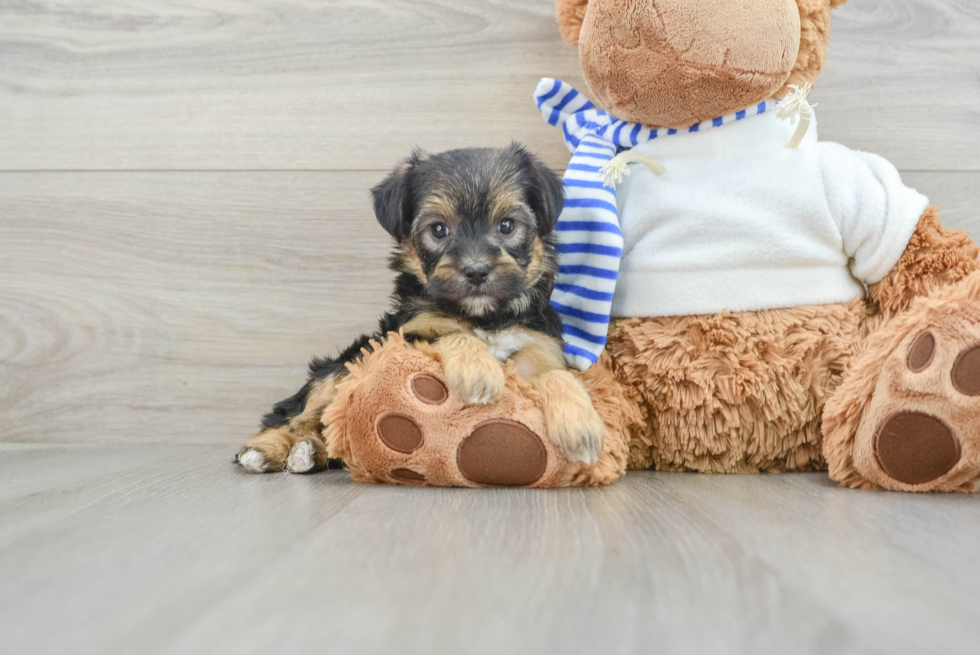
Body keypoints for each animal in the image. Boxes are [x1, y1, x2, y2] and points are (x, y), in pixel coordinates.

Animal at [237, 146, 604, 476]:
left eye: (507, 226)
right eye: (438, 229)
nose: (476, 271)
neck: (484, 316)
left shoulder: (540, 344)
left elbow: (556, 374)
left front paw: (581, 426)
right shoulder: (409, 333)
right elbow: (451, 334)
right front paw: (478, 371)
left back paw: (310, 451)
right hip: (346, 363)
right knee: (294, 413)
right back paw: (267, 449)